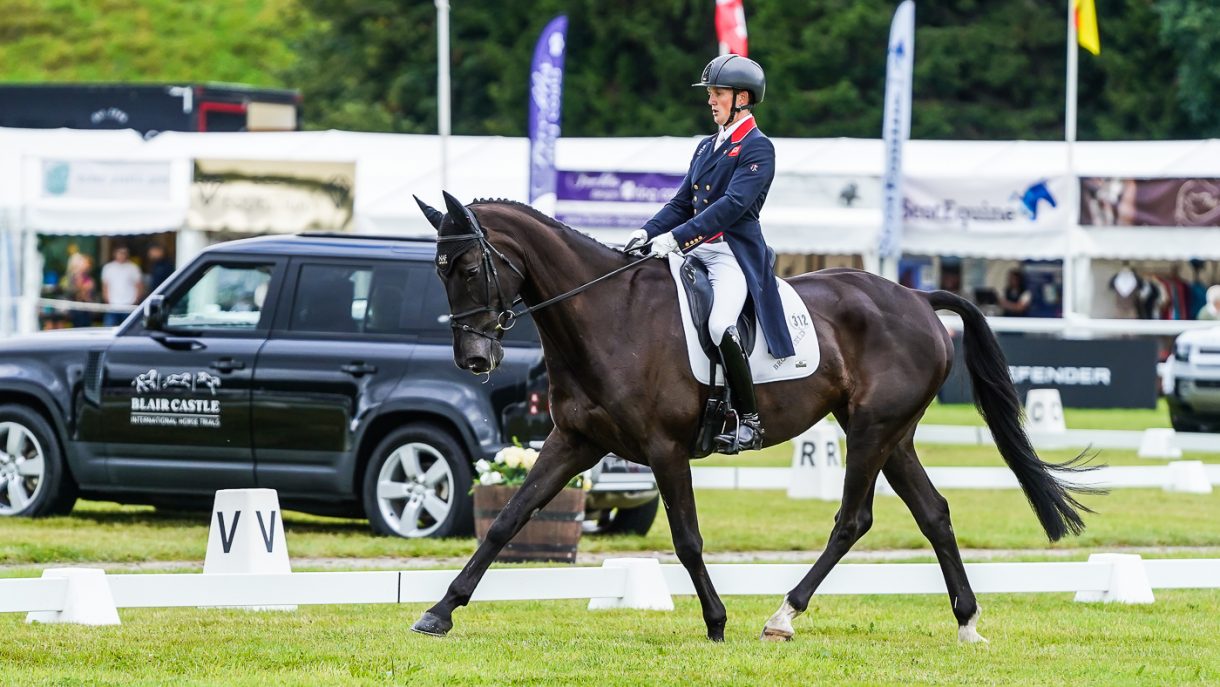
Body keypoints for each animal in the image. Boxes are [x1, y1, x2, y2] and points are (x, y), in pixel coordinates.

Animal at [410, 192, 1097, 643]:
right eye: (438, 272)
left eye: (468, 267)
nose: (475, 358)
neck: (608, 315)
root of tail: (916, 297)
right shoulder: (574, 441)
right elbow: (507, 521)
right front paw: (440, 611)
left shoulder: (663, 448)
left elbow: (687, 539)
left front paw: (716, 623)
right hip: (892, 434)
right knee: (934, 514)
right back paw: (967, 621)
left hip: (873, 431)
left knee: (853, 519)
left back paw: (783, 615)